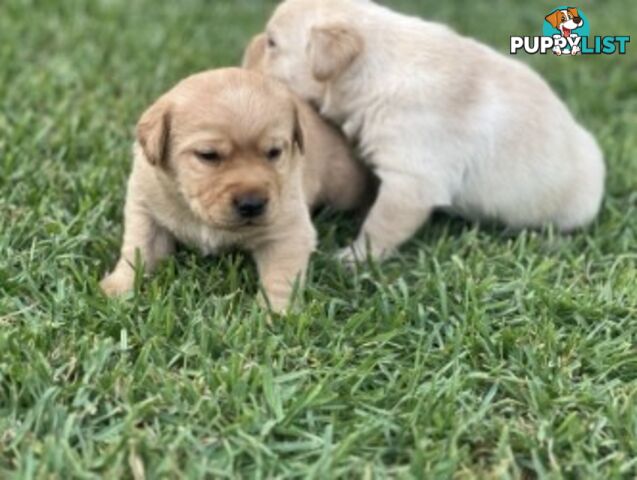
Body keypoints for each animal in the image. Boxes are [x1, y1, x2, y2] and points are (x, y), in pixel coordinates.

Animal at [99, 67, 368, 312]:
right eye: (208, 155)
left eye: (274, 152)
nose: (252, 204)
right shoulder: (145, 208)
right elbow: (139, 250)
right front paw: (118, 287)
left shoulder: (288, 229)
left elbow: (281, 277)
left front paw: (274, 315)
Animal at [256, 0, 604, 262]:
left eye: (272, 43)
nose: (253, 45)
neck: (376, 70)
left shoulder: (411, 181)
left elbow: (379, 225)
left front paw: (355, 258)